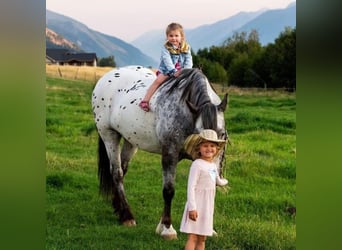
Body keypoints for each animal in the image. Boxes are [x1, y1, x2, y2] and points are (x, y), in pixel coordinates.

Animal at [92, 65, 228, 239]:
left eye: (222, 134)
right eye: (199, 135)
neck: (185, 112)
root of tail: (105, 78)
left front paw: (207, 229)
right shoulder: (170, 153)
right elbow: (168, 190)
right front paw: (167, 228)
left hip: (131, 140)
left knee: (123, 168)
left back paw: (119, 209)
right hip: (109, 135)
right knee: (117, 172)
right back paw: (127, 216)